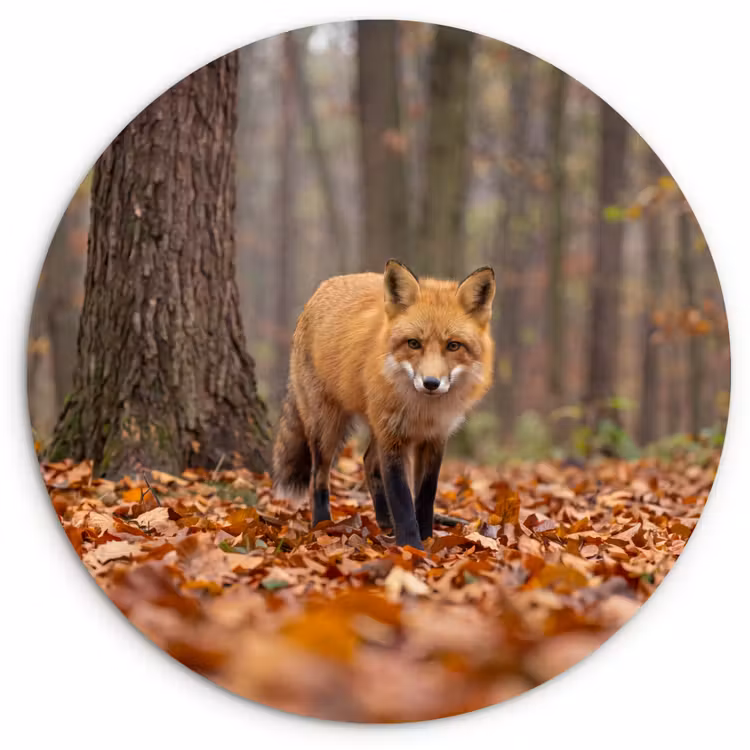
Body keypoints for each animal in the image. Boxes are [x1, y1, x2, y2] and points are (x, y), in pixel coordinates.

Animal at [272, 259, 496, 550]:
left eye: (453, 346)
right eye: (414, 343)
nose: (431, 383)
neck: (423, 412)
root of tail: (323, 287)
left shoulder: (434, 439)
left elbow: (425, 497)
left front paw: (427, 539)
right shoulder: (394, 439)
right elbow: (402, 500)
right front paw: (411, 546)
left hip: (373, 423)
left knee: (368, 463)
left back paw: (384, 520)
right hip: (327, 427)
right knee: (318, 476)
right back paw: (322, 523)